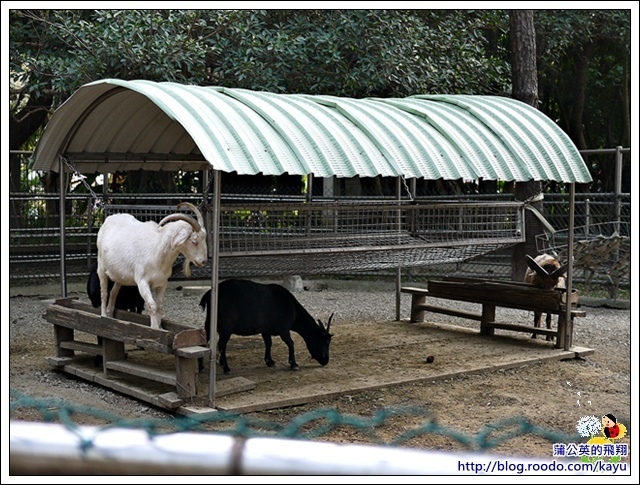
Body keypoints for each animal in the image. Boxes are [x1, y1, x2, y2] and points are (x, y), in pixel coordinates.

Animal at [97, 200, 208, 328]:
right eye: (194, 241)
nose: (203, 261)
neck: (157, 249)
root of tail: (109, 219)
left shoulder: (162, 283)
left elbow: (159, 306)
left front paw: (160, 327)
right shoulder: (142, 282)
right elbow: (152, 305)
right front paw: (155, 328)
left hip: (120, 276)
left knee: (113, 292)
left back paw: (110, 315)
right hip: (101, 268)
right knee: (104, 292)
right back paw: (104, 316)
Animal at [199, 278, 330, 372]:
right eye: (324, 342)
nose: (326, 361)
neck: (293, 309)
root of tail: (209, 294)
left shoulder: (266, 330)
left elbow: (268, 343)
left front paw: (269, 361)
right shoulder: (283, 329)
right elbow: (291, 343)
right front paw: (294, 364)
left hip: (209, 323)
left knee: (204, 341)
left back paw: (202, 367)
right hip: (226, 327)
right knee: (221, 344)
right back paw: (226, 367)